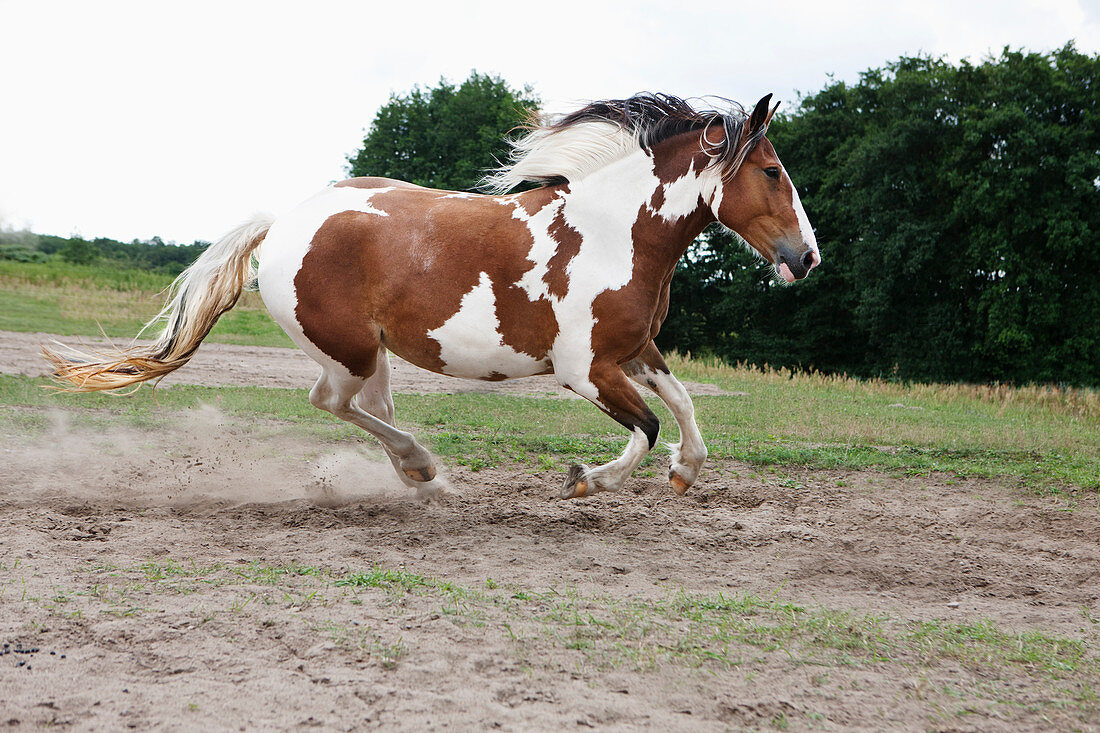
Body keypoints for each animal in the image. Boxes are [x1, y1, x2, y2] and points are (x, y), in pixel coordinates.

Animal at [45, 91, 818, 499]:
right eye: (772, 171)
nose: (805, 258)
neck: (609, 232)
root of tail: (286, 220)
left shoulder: (633, 350)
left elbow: (682, 406)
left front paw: (685, 473)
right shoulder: (583, 369)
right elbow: (646, 427)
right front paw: (585, 480)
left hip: (372, 352)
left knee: (368, 408)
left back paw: (428, 482)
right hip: (348, 351)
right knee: (333, 403)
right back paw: (421, 467)